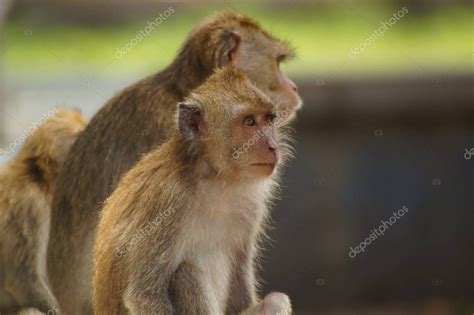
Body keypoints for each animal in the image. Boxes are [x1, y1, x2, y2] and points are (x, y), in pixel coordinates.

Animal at [92, 68, 292, 315]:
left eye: (268, 120)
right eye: (249, 122)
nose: (273, 146)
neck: (215, 178)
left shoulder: (251, 204)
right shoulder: (166, 200)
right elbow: (144, 294)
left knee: (276, 300)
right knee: (186, 273)